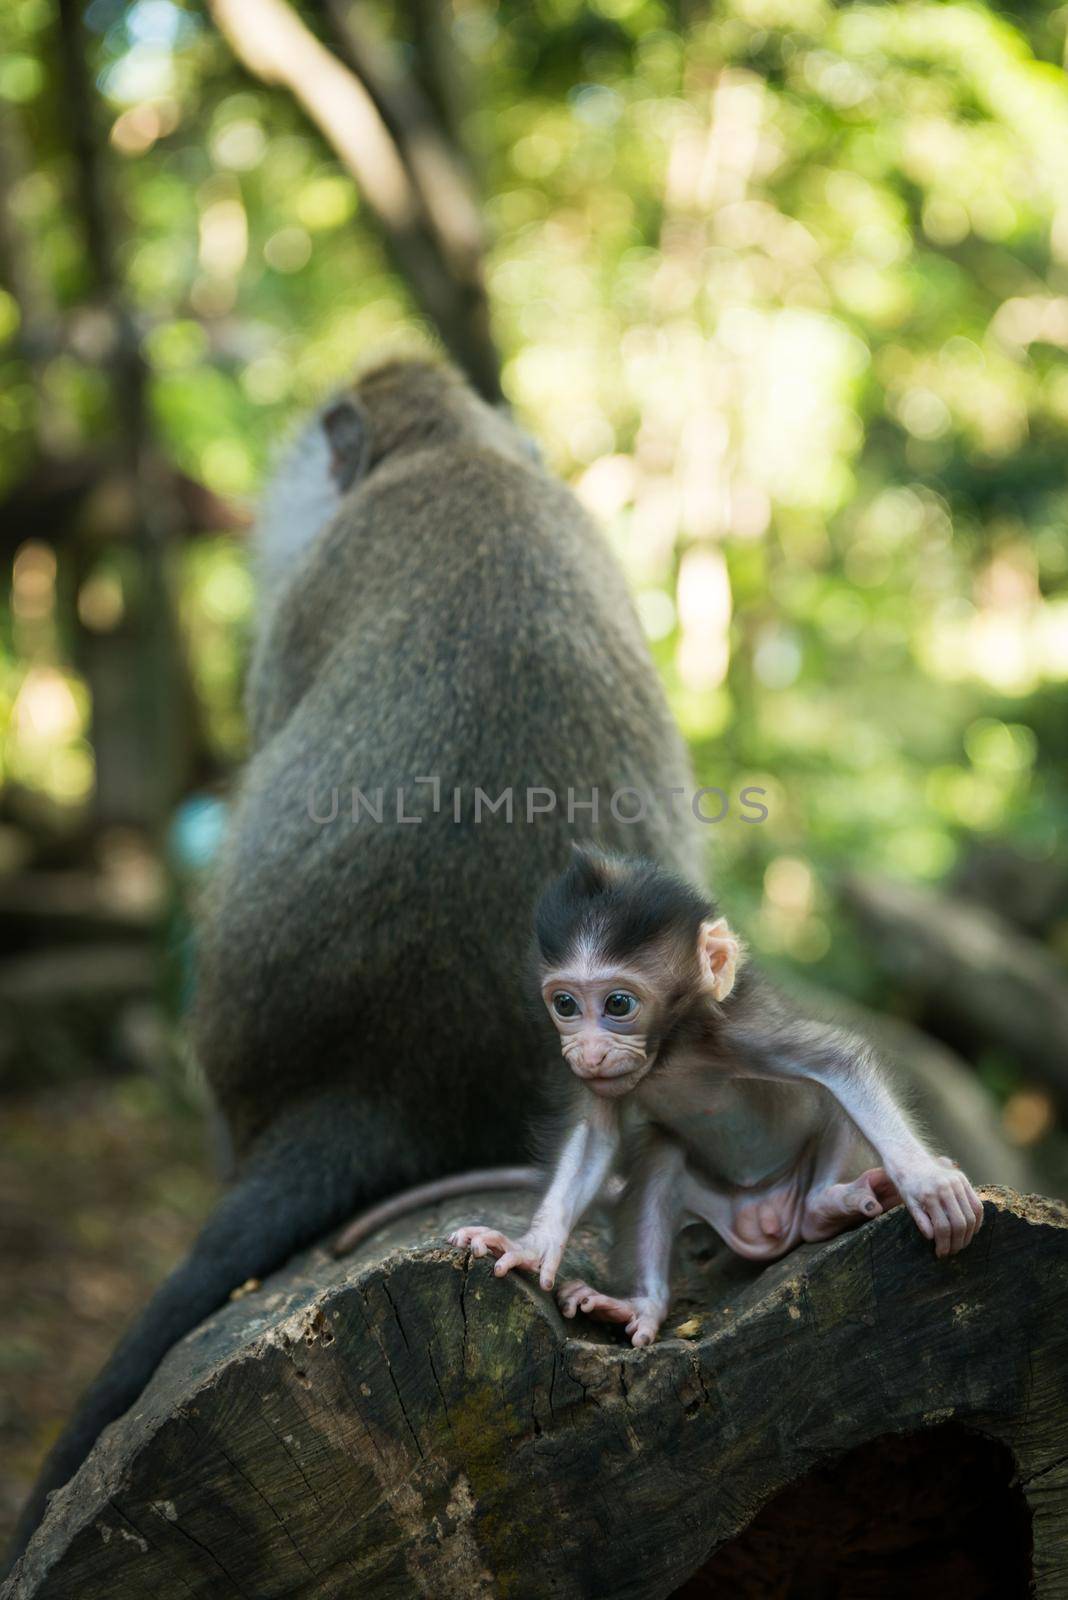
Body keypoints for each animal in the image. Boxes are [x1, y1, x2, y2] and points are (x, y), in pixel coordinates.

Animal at [447, 857, 978, 1344]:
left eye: (618, 1004)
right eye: (565, 1005)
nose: (590, 1053)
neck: (670, 1049)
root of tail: (762, 1221)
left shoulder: (742, 1034)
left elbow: (840, 1062)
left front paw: (929, 1182)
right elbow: (597, 1137)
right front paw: (531, 1248)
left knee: (828, 1106)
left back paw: (826, 1204)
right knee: (661, 1150)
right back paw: (640, 1304)